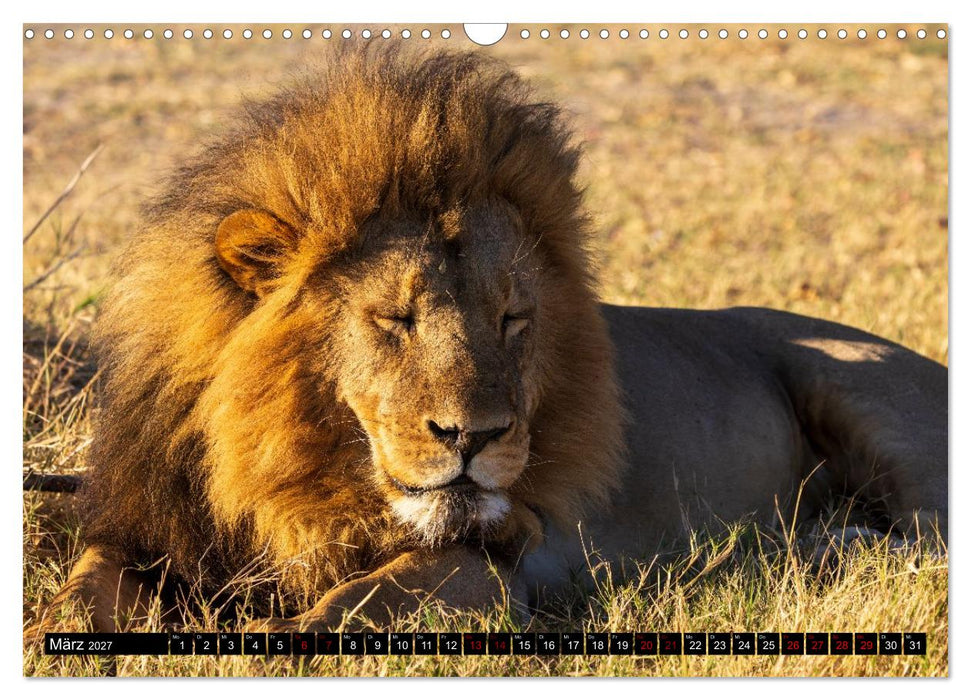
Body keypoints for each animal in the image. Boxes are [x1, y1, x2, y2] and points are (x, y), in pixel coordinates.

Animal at [39, 47, 946, 635]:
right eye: (394, 318)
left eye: (512, 318)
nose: (473, 437)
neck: (287, 470)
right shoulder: (148, 530)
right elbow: (81, 594)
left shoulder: (492, 566)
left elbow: (352, 605)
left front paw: (269, 639)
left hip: (856, 388)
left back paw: (817, 551)